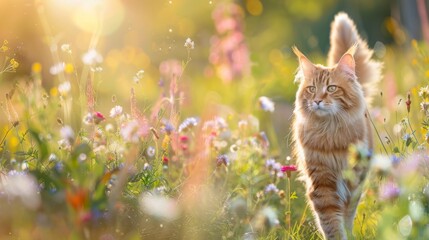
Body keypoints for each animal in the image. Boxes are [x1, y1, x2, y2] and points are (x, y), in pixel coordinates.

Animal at [290, 13, 382, 240]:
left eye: (331, 88)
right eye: (311, 89)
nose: (317, 100)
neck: (329, 132)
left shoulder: (351, 181)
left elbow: (344, 217)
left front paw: (346, 233)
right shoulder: (322, 183)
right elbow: (331, 222)